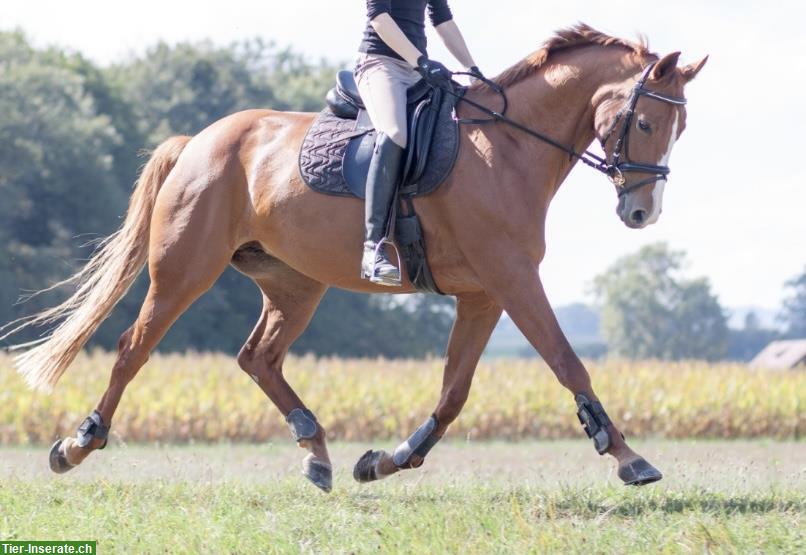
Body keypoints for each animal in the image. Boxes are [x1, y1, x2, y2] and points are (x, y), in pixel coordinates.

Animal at [0, 23, 708, 494]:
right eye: (648, 123)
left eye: (680, 128)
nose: (642, 213)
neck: (506, 148)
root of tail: (198, 140)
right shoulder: (512, 279)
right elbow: (567, 362)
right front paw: (627, 456)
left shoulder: (483, 293)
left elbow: (454, 392)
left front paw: (388, 460)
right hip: (183, 272)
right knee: (132, 349)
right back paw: (76, 444)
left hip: (295, 283)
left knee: (257, 357)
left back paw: (316, 451)